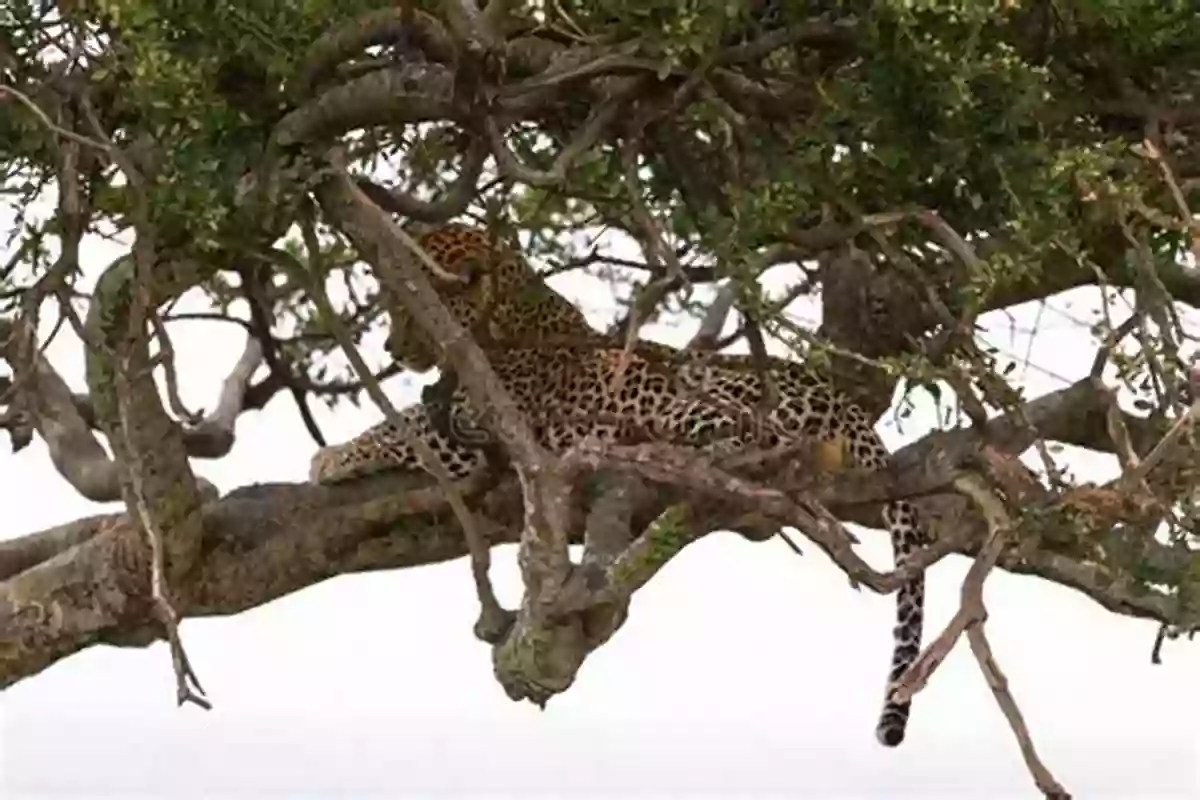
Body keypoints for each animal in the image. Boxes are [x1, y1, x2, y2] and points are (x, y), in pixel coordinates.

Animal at [309, 224, 926, 753]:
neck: (505, 313)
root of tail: (843, 403)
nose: (392, 349)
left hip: (689, 392)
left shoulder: (479, 426)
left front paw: (332, 456)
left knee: (758, 436)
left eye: (405, 308)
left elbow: (403, 425)